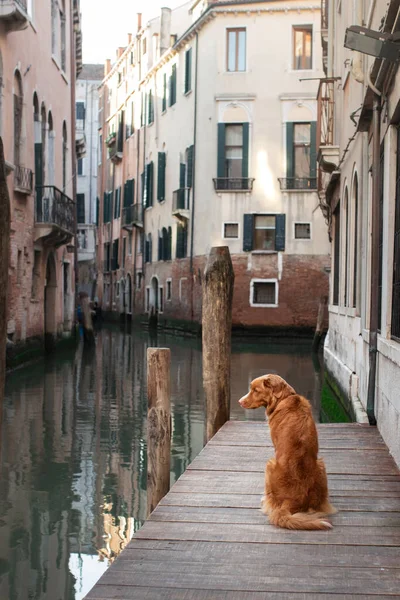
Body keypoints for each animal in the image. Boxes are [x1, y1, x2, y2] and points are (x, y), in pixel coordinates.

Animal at [239, 376, 336, 528]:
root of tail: (291, 501)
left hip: (270, 463)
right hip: (320, 464)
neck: (285, 397)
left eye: (256, 390)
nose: (240, 401)